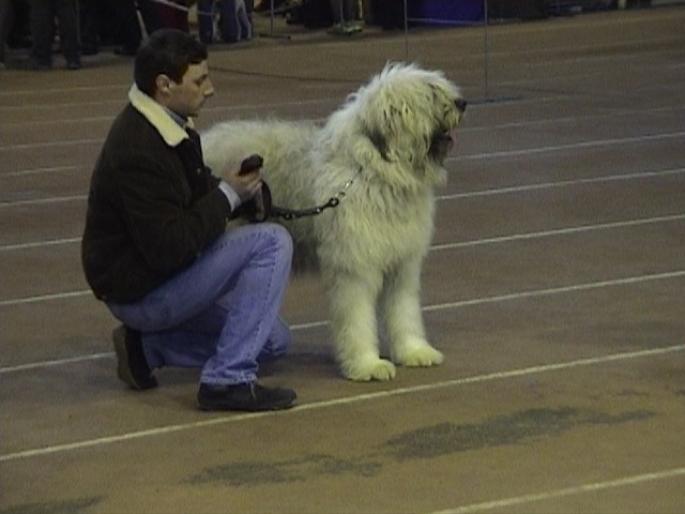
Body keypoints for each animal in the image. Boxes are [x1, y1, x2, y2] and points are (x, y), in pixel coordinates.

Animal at [198, 62, 464, 378]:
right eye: (430, 92)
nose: (462, 103)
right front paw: (367, 363)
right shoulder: (354, 266)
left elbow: (404, 311)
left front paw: (414, 350)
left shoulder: (402, 264)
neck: (373, 169)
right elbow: (358, 318)